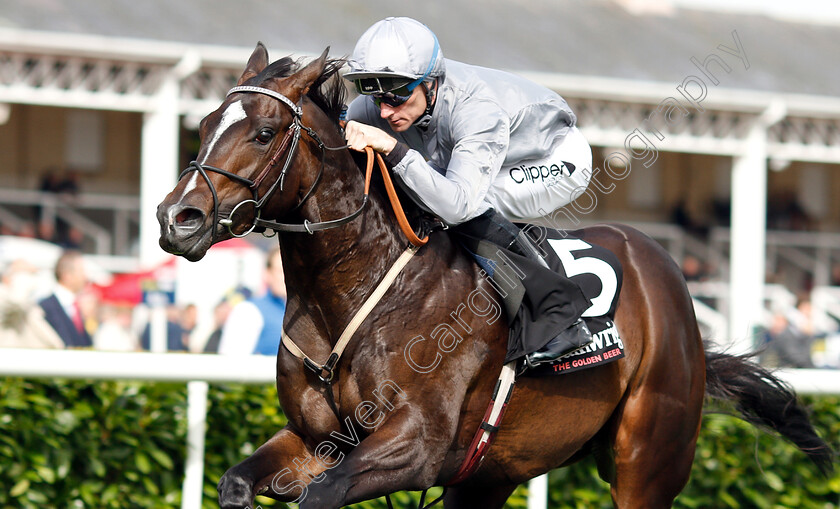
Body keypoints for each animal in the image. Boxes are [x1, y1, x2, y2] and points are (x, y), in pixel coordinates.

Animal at [154, 44, 832, 508]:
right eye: (206, 122)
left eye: (265, 132)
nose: (176, 218)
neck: (352, 294)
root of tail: (663, 272)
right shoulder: (314, 441)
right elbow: (237, 482)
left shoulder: (416, 445)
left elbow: (323, 496)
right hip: (490, 471)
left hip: (647, 458)